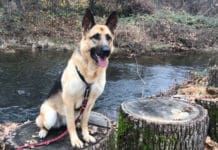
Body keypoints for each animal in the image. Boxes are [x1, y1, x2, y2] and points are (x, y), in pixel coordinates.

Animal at [35, 9, 117, 148]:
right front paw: (75, 140)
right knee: (46, 125)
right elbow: (71, 126)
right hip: (50, 115)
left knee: (74, 122)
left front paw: (86, 135)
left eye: (109, 38)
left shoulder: (90, 103)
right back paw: (43, 132)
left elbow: (84, 122)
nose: (106, 51)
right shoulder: (69, 101)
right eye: (95, 37)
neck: (90, 72)